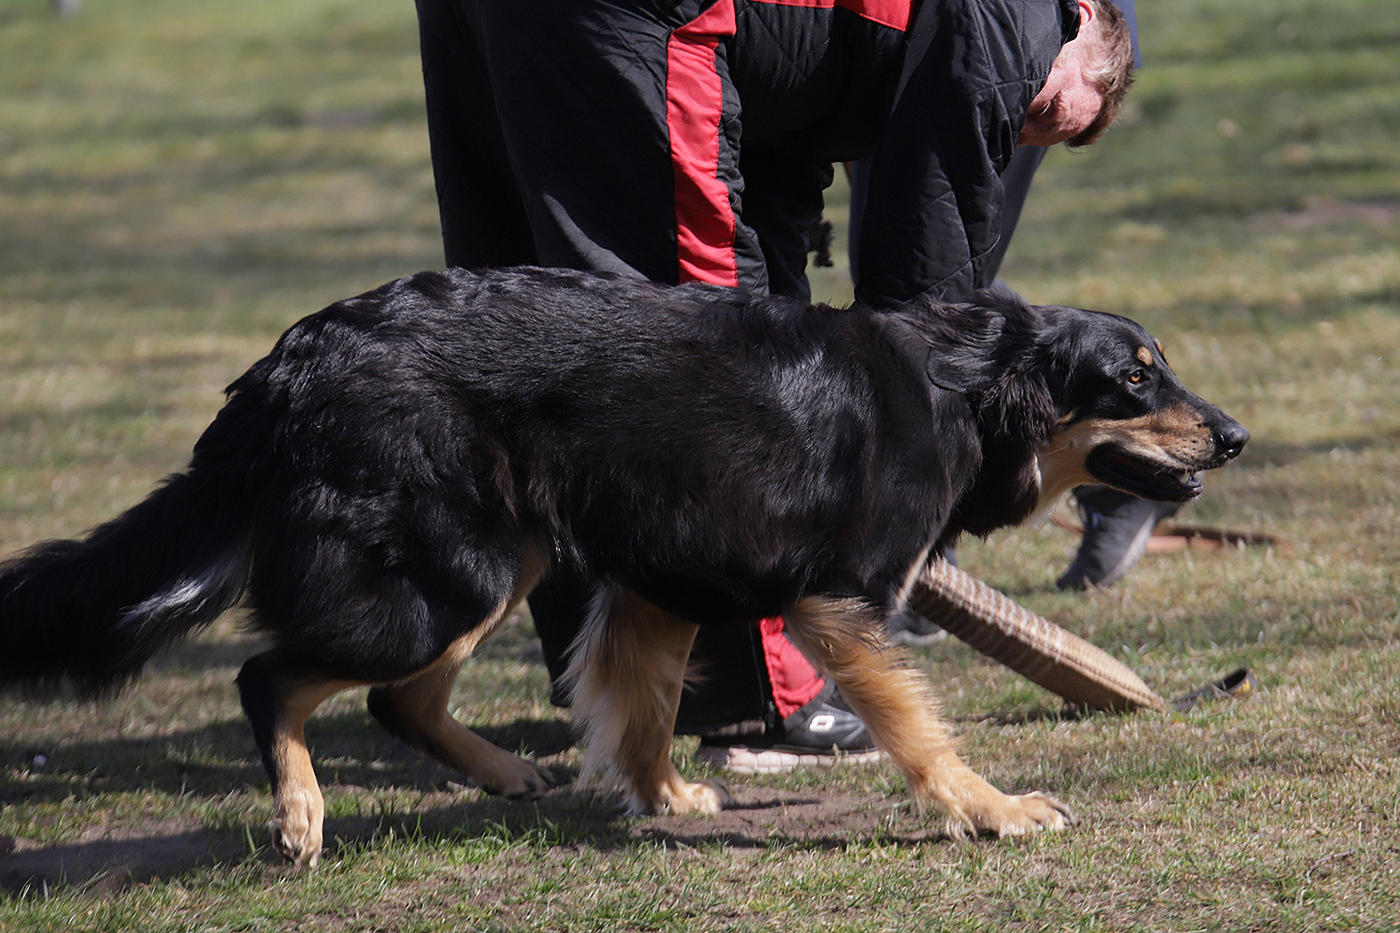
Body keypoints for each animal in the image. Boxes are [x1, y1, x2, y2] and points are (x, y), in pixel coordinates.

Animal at [0, 267, 1247, 866]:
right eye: (1132, 380)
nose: (1234, 437)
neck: (969, 382)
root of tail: (286, 363)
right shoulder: (838, 600)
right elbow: (918, 727)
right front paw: (985, 811)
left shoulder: (659, 581)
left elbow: (640, 710)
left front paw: (664, 797)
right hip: (446, 578)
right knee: (272, 677)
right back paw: (301, 816)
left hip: (498, 563)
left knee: (401, 702)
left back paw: (504, 774)